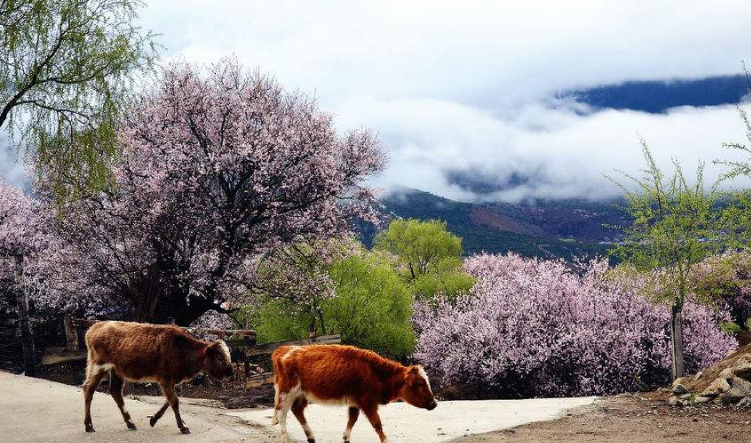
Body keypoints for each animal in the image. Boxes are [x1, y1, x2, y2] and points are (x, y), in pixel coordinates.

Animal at [80, 320, 234, 436]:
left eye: (228, 356)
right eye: (220, 358)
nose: (231, 375)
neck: (182, 350)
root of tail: (95, 327)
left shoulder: (170, 381)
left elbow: (169, 401)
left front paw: (153, 419)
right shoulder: (165, 379)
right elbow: (174, 401)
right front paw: (182, 426)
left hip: (116, 370)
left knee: (115, 392)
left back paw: (130, 422)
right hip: (99, 366)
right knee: (88, 389)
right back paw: (89, 425)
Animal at [272, 346, 438, 443]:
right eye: (419, 383)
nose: (434, 403)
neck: (375, 371)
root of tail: (283, 349)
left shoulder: (355, 403)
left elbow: (352, 420)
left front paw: (346, 438)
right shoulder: (367, 402)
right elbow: (377, 423)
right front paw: (386, 441)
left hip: (301, 395)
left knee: (297, 411)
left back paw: (311, 436)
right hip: (287, 392)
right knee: (281, 413)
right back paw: (286, 438)